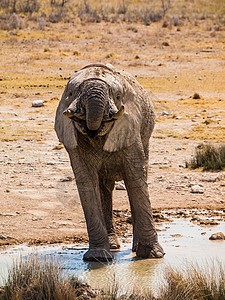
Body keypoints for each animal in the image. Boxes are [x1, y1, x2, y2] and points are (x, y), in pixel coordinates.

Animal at [54, 64, 163, 262]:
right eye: (71, 93)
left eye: (118, 96)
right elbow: (87, 184)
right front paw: (97, 258)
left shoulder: (130, 127)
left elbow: (135, 180)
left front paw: (153, 255)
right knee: (103, 187)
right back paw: (112, 246)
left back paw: (134, 248)